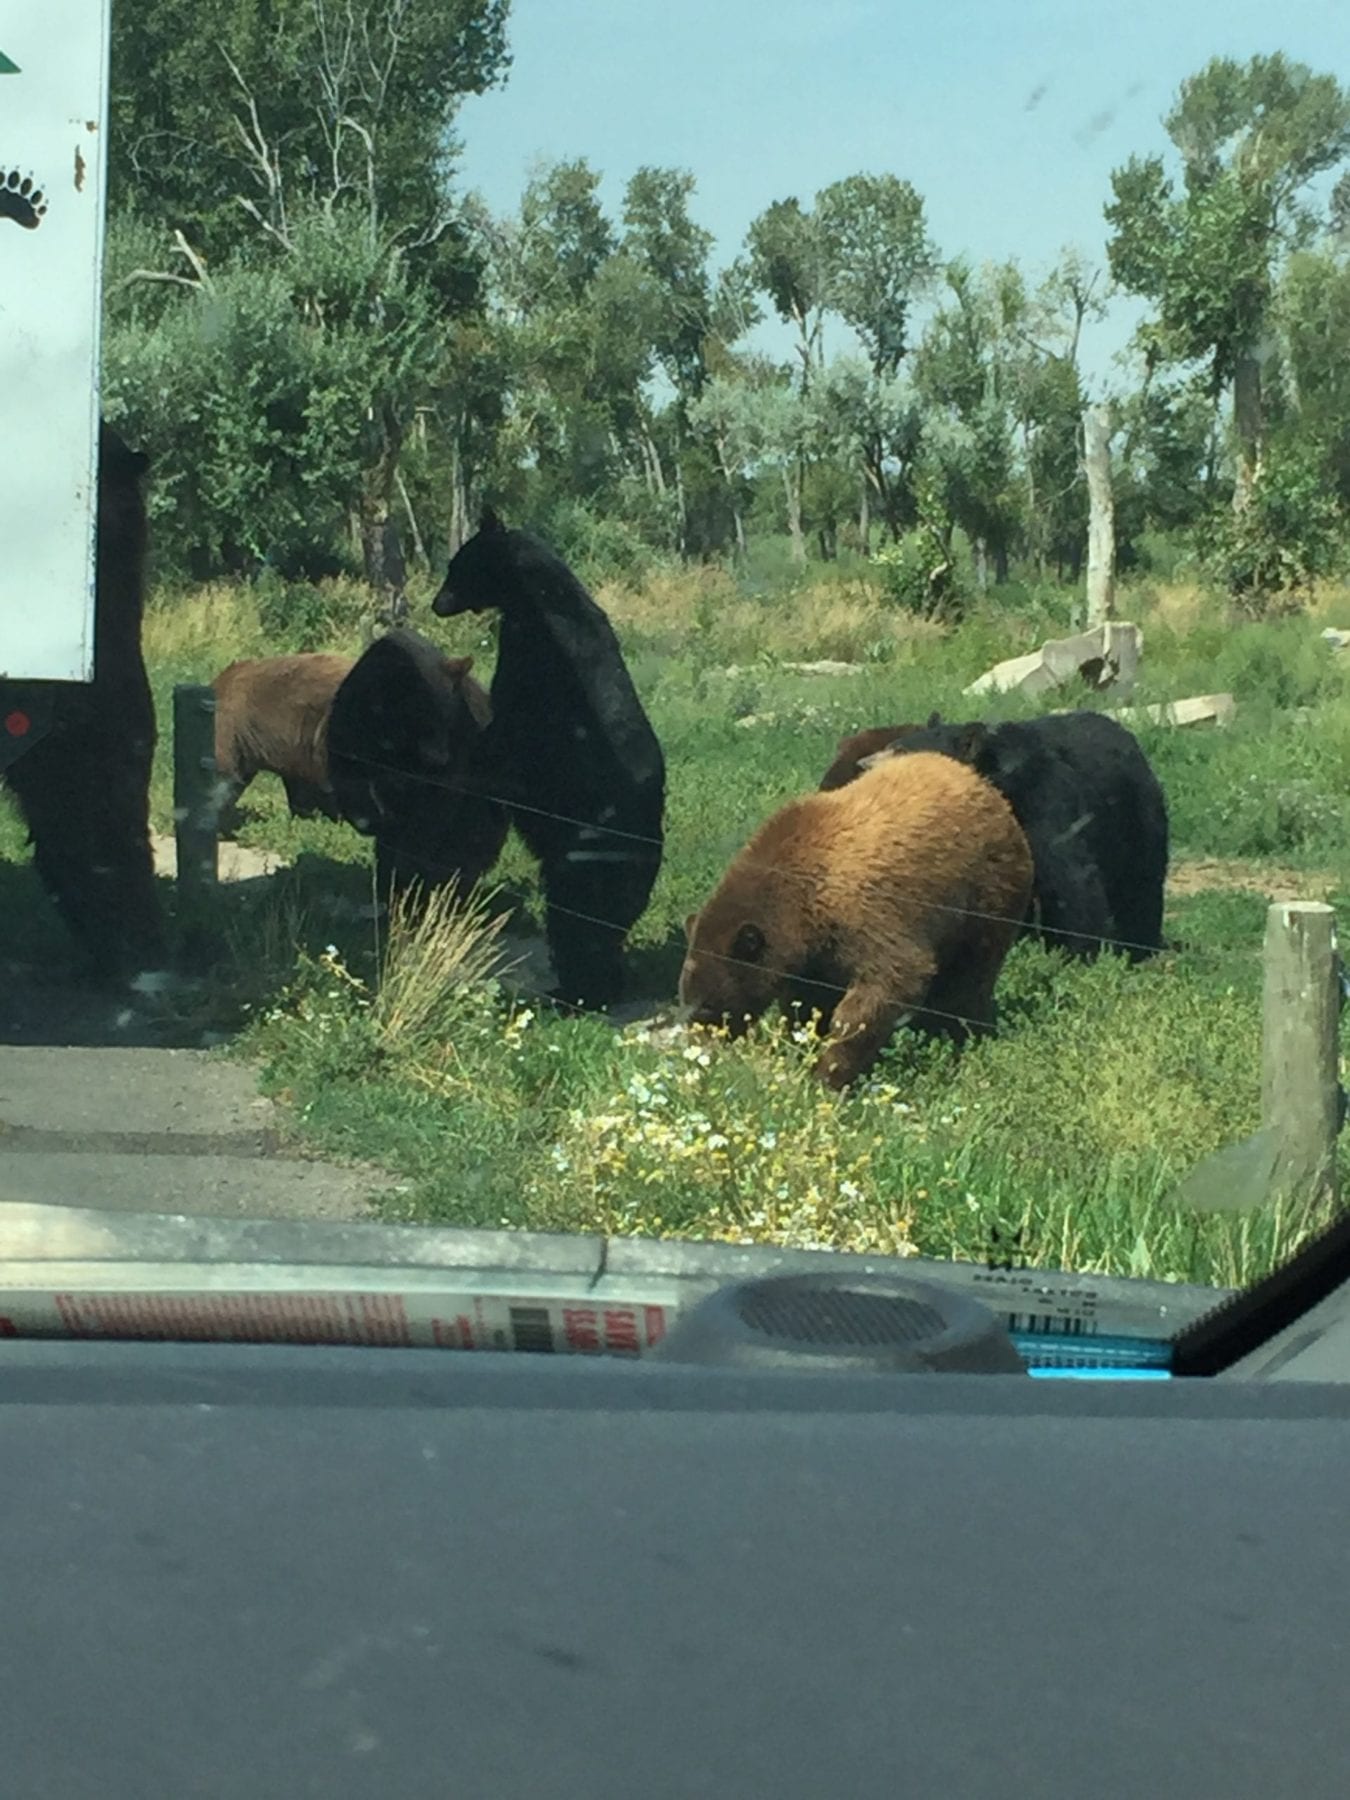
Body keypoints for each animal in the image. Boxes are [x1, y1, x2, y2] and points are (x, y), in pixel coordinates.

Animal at [322, 633, 507, 914]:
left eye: (447, 716)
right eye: (420, 718)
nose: (438, 756)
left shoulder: (457, 757)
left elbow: (429, 819)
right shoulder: (349, 729)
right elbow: (349, 776)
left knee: (467, 847)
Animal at [433, 507, 666, 1015]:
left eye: (456, 567)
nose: (436, 602)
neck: (535, 595)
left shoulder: (532, 663)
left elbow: (502, 733)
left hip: (582, 858)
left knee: (575, 922)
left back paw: (576, 992)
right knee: (600, 929)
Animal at [680, 752, 1029, 1087]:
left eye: (707, 1005)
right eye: (686, 999)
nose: (700, 1051)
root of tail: (988, 789)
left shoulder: (866, 914)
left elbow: (889, 980)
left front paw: (830, 1072)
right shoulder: (814, 954)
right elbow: (806, 1000)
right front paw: (804, 1047)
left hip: (986, 897)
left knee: (969, 978)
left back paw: (959, 1035)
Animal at [860, 709, 1166, 964]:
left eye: (900, 751)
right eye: (892, 745)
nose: (863, 764)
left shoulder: (1046, 802)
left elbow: (1074, 880)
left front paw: (1079, 956)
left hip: (1137, 812)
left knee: (1142, 882)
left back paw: (1140, 947)